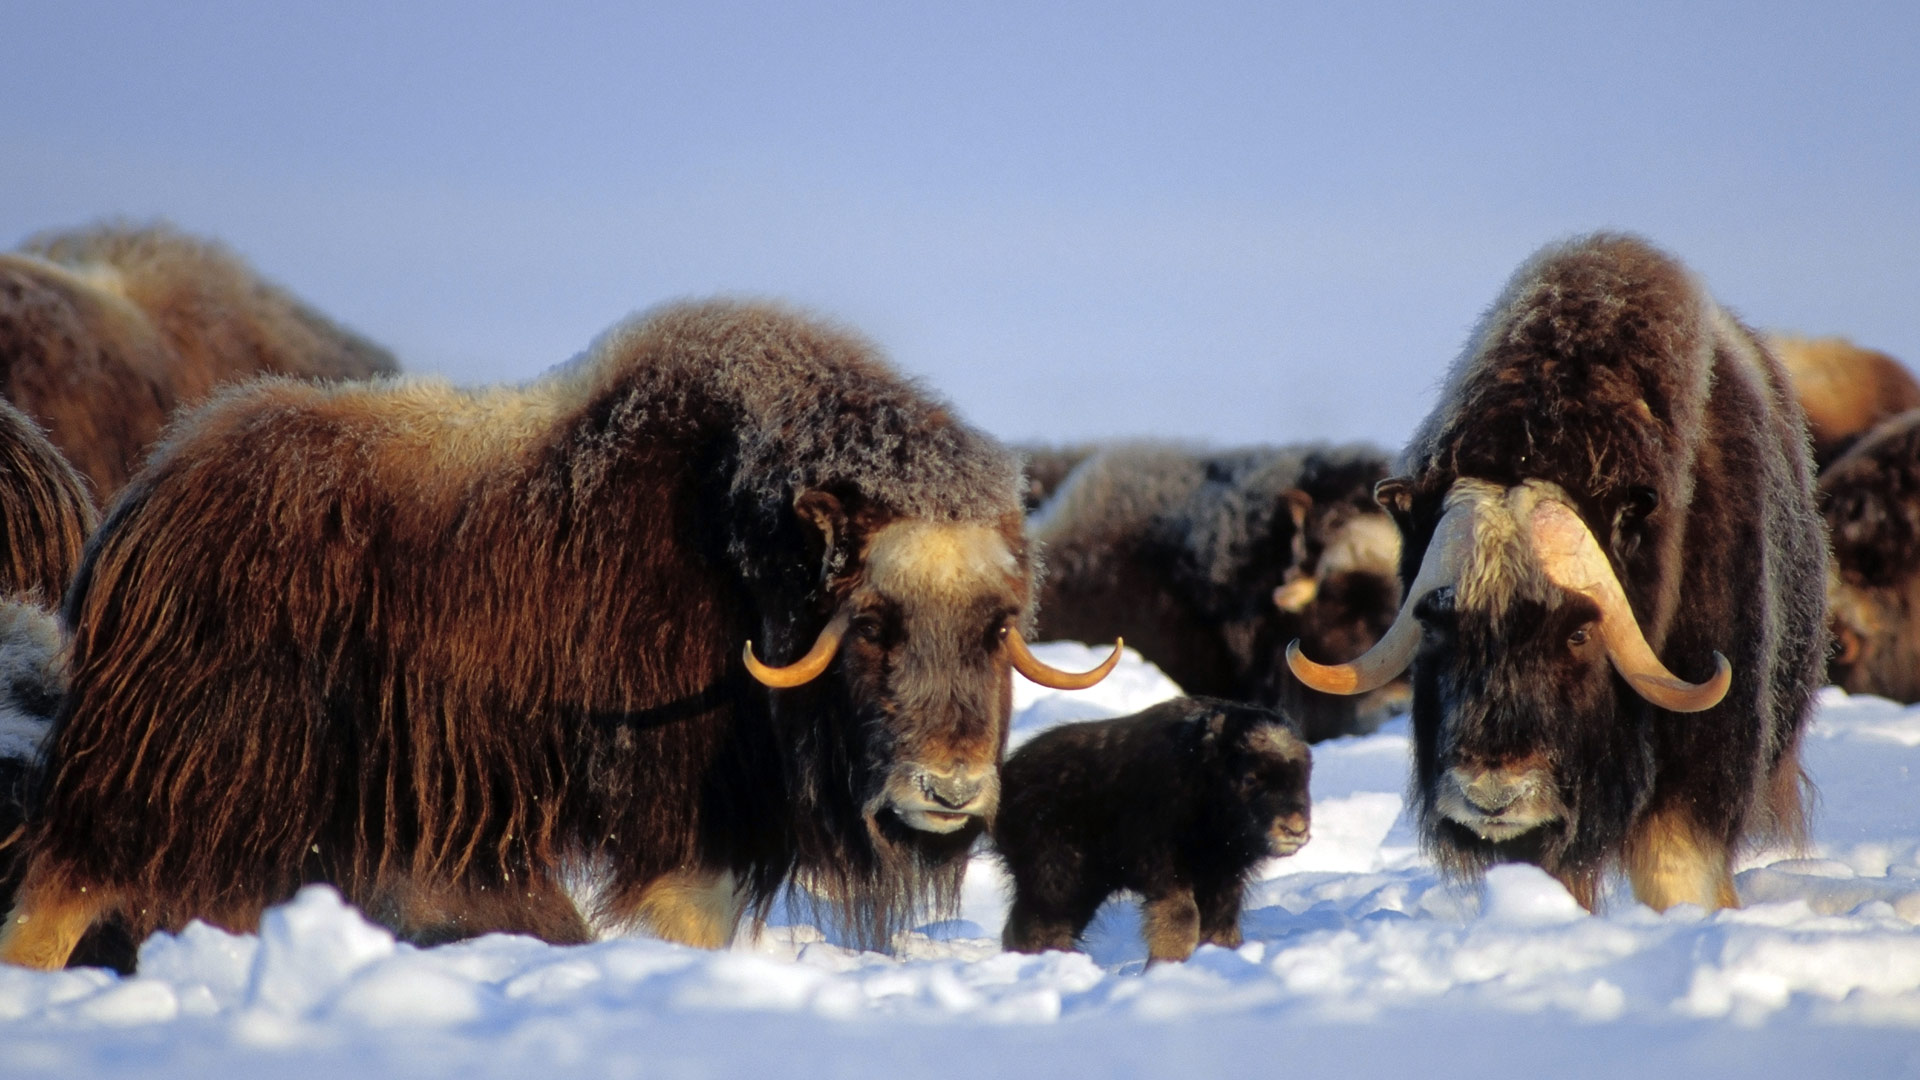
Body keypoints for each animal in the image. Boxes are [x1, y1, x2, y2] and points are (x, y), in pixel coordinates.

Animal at [998, 699, 1313, 957]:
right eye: (1250, 778)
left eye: (1305, 775)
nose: (1295, 829)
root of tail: (1007, 779)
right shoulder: (1168, 873)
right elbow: (1182, 922)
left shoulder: (1223, 881)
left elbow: (1221, 929)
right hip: (1058, 883)